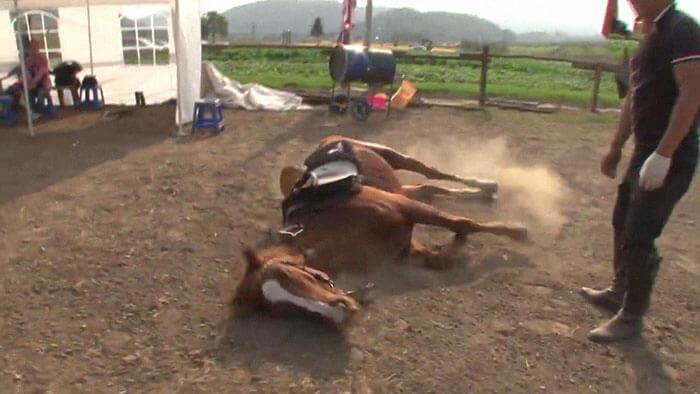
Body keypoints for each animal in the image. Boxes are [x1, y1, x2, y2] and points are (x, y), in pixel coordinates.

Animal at [232, 137, 528, 324]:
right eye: (283, 310)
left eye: (293, 276)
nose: (341, 313)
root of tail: (329, 141)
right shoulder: (406, 247)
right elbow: (441, 257)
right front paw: (457, 245)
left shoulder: (404, 206)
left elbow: (464, 223)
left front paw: (517, 230)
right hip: (400, 186)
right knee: (429, 187)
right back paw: (479, 193)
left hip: (393, 157)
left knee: (431, 172)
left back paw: (486, 184)